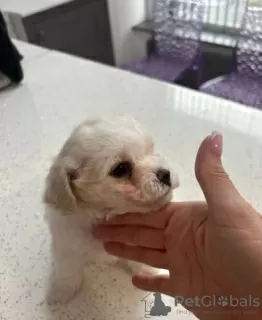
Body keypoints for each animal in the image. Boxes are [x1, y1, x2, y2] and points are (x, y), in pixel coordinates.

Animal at [44, 116, 179, 304]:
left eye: (151, 149)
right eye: (121, 169)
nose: (165, 173)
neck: (104, 214)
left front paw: (149, 271)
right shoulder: (66, 246)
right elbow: (67, 271)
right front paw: (61, 292)